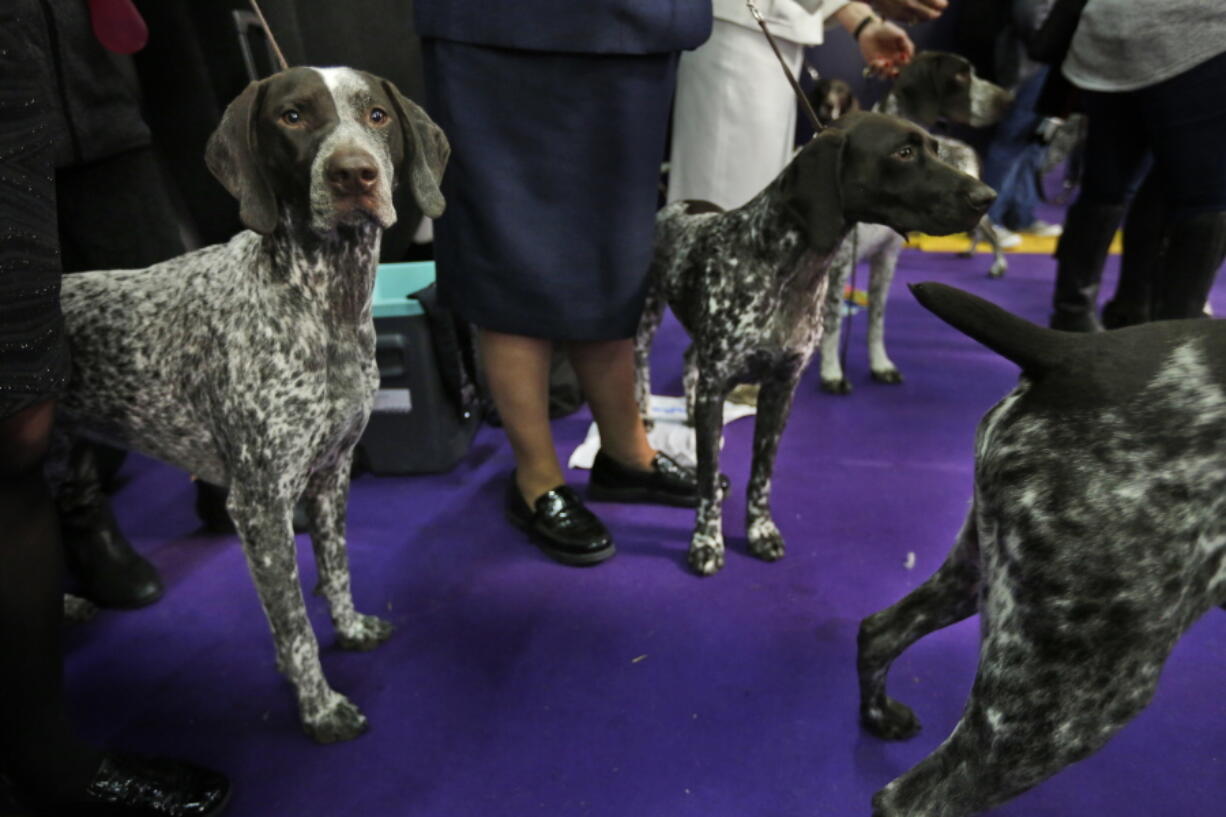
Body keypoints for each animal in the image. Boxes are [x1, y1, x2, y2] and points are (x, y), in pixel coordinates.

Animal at [58, 66, 451, 740]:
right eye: (292, 117)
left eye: (376, 115)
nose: (353, 174)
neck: (323, 301)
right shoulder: (261, 505)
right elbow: (293, 626)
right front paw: (318, 707)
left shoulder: (332, 475)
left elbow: (336, 569)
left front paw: (350, 630)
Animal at [637, 111, 1000, 576]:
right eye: (903, 152)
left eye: (937, 149)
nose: (986, 197)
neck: (787, 269)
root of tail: (678, 203)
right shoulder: (717, 387)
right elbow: (707, 479)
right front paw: (706, 541)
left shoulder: (780, 390)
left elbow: (761, 475)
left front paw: (760, 531)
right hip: (647, 313)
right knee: (640, 363)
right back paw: (646, 415)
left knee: (688, 362)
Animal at [863, 282, 1226, 814]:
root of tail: (1071, 351)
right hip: (1075, 694)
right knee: (907, 799)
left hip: (982, 575)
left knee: (878, 631)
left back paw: (879, 716)